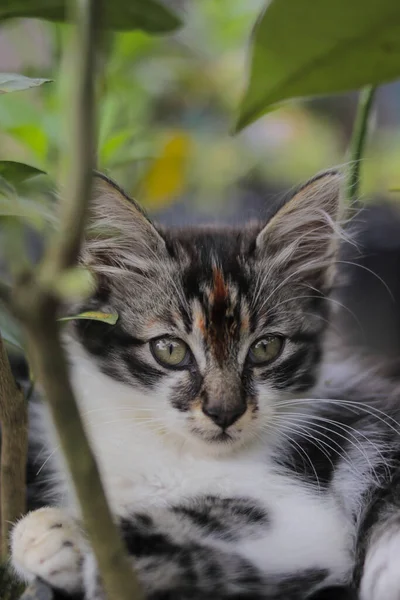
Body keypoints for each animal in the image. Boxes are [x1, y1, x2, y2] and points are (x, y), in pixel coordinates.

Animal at [9, 170, 400, 600]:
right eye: (170, 350)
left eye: (266, 348)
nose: (224, 413)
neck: (177, 450)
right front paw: (53, 537)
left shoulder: (303, 511)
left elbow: (176, 520)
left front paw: (73, 538)